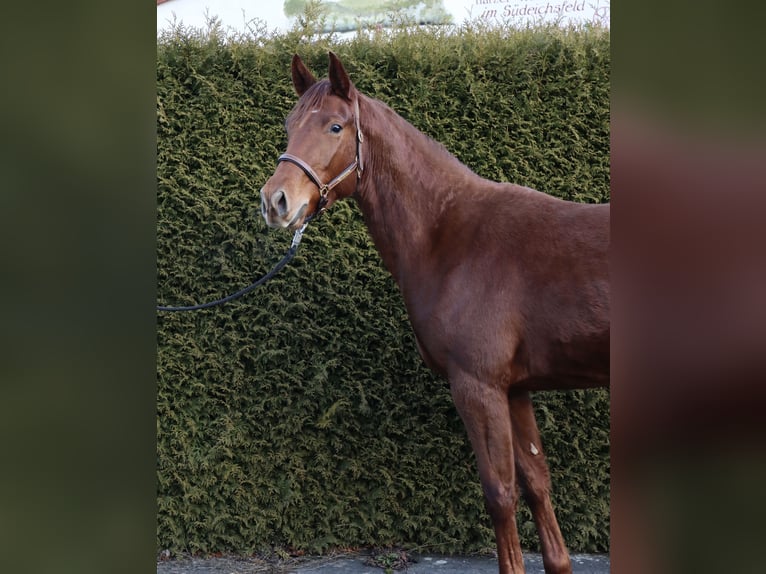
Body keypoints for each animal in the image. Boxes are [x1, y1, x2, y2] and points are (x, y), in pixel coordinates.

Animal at [260, 51, 608, 572]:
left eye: (336, 126)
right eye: (289, 124)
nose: (275, 201)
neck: (450, 235)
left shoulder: (477, 386)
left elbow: (500, 493)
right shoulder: (516, 390)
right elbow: (537, 485)